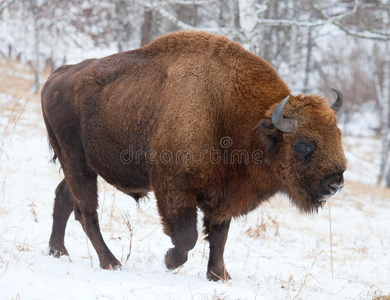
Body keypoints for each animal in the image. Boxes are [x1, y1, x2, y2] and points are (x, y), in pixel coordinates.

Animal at [42, 30, 348, 282]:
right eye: (304, 145)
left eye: (338, 134)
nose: (335, 184)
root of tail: (56, 77)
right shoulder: (175, 187)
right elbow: (188, 236)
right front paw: (169, 261)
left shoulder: (223, 196)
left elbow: (219, 236)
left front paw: (219, 276)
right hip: (75, 161)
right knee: (86, 211)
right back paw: (111, 263)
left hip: (84, 166)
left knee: (64, 198)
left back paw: (58, 251)